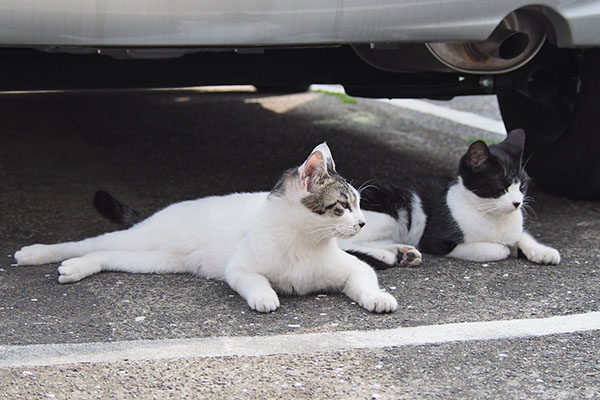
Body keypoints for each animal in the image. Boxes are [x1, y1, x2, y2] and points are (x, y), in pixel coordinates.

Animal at [16, 143, 418, 312]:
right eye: (343, 206)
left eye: (361, 204)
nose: (362, 222)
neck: (303, 242)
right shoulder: (239, 268)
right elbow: (254, 281)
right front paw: (265, 296)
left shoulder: (351, 267)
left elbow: (365, 279)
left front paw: (378, 297)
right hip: (142, 241)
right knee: (88, 241)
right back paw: (37, 253)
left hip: (153, 260)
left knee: (103, 253)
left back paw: (76, 268)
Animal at [342, 130, 564, 264]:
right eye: (501, 186)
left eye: (523, 185)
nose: (517, 203)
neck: (491, 215)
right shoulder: (436, 241)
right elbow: (496, 249)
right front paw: (506, 248)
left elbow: (521, 235)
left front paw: (543, 251)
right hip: (389, 216)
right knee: (345, 244)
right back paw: (384, 255)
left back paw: (403, 253)